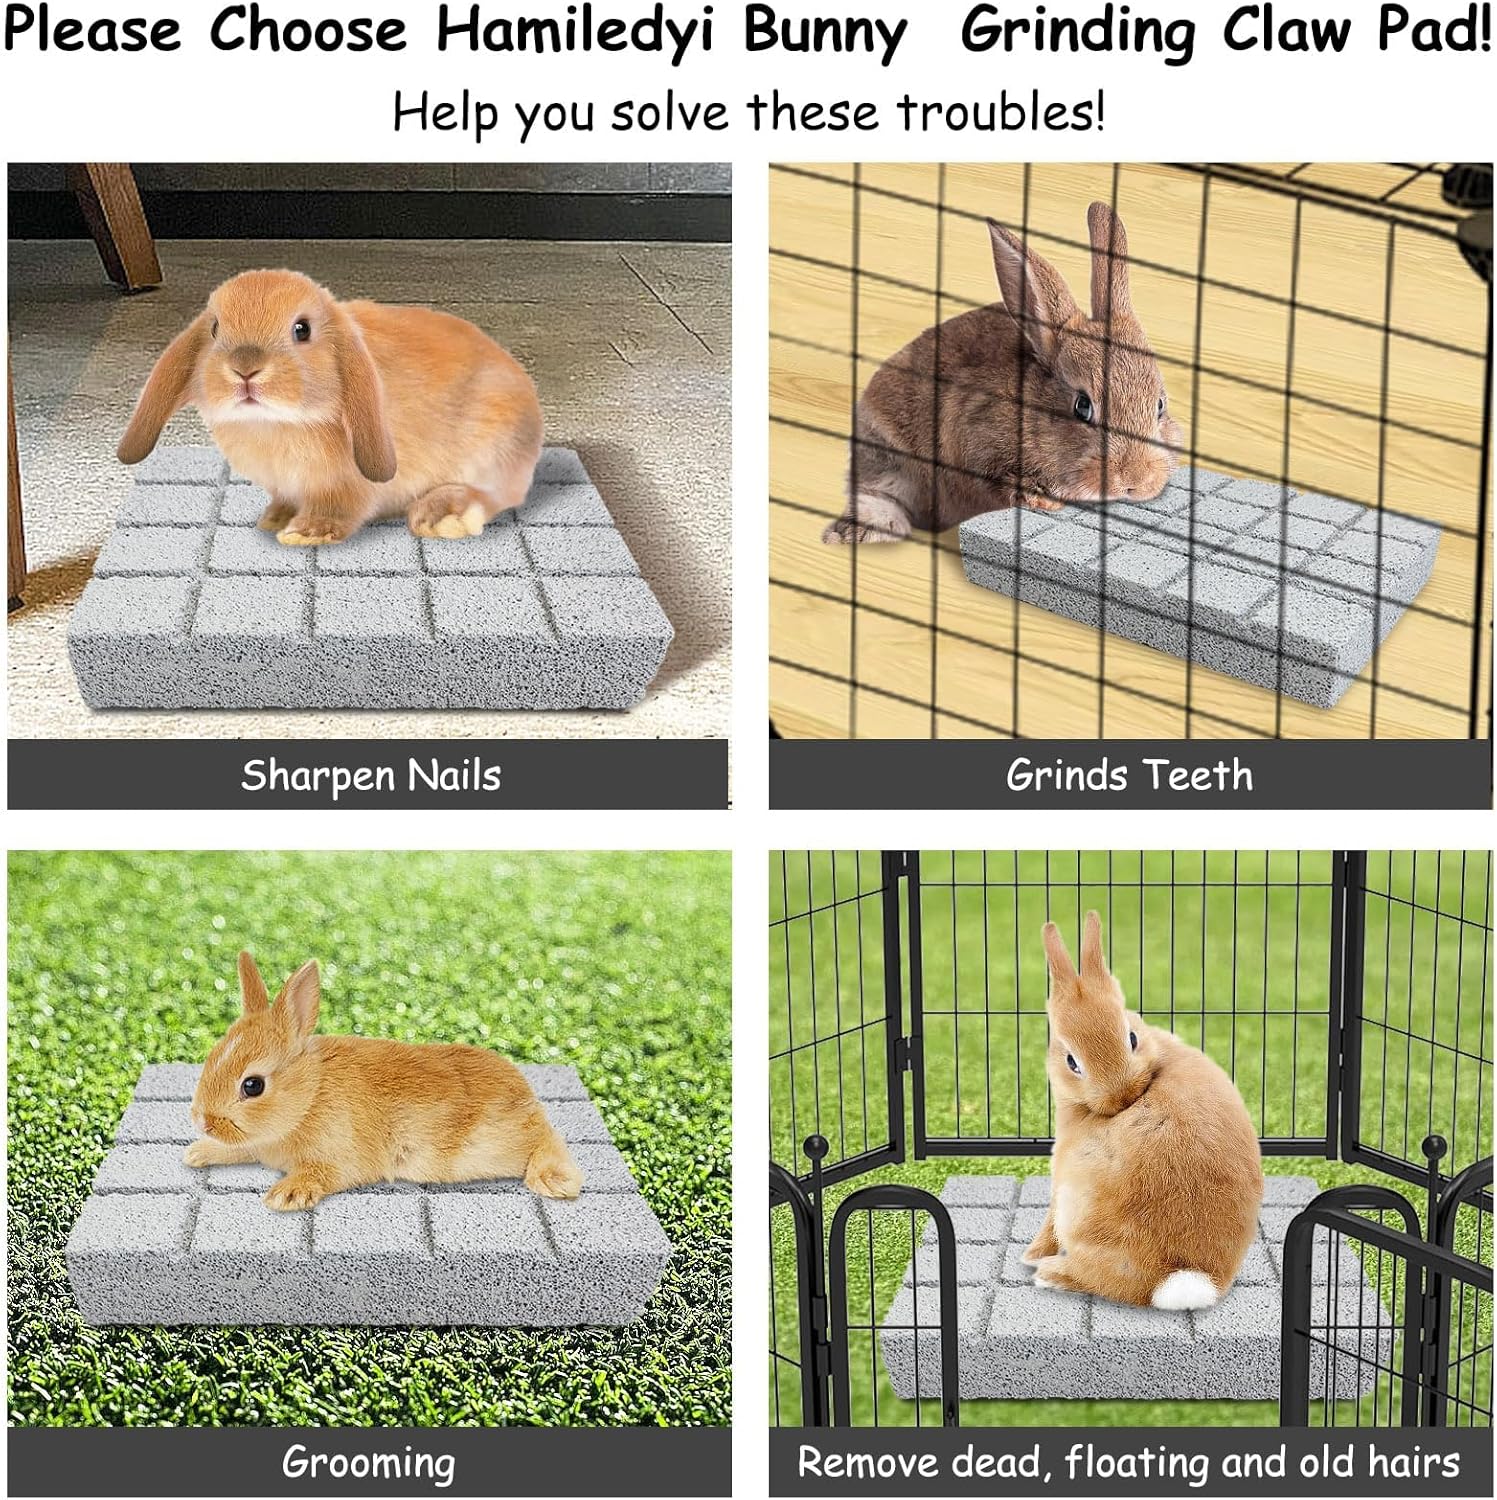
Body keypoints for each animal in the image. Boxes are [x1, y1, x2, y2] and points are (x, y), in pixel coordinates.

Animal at [118, 269, 543, 546]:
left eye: (302, 329)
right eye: (215, 328)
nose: (244, 368)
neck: (275, 423)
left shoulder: (346, 485)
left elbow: (340, 508)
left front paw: (303, 533)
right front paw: (273, 520)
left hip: (494, 445)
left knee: (498, 494)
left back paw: (443, 516)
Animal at [183, 951, 584, 1211]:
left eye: (252, 1086)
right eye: (213, 1054)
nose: (202, 1121)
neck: (310, 1096)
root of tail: (527, 1097)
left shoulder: (340, 1158)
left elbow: (322, 1173)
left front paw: (287, 1195)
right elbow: (241, 1148)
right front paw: (199, 1152)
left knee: (547, 1140)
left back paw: (555, 1180)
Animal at [1022, 912, 1263, 1310]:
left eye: (1131, 1038)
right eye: (1072, 1061)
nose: (1121, 1096)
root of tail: (1183, 1277)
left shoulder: (1060, 1176)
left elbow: (1049, 1222)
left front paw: (1030, 1255)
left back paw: (1049, 1274)